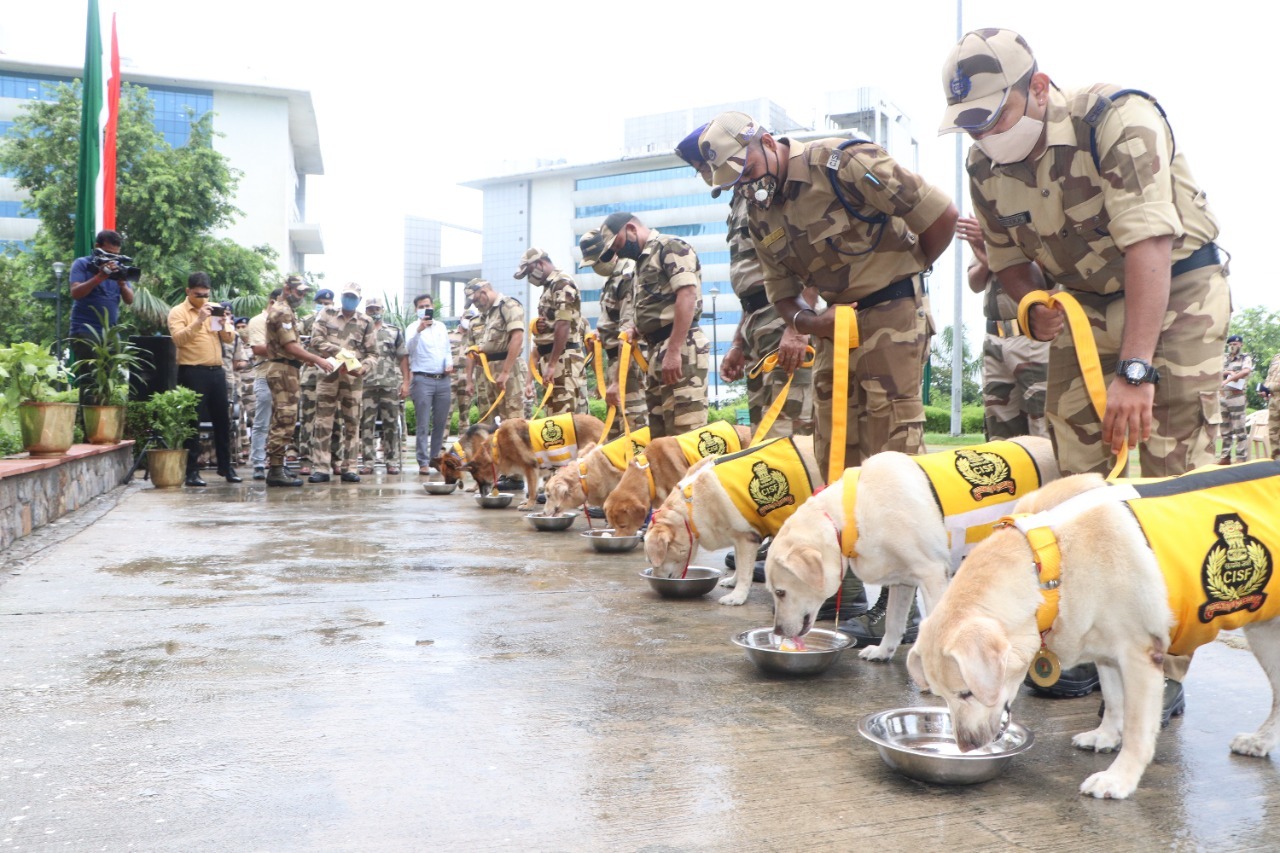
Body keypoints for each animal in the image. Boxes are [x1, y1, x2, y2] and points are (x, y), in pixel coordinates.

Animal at [645, 432, 814, 604]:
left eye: (651, 561)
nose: (655, 578)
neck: (689, 505)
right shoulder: (737, 537)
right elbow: (739, 564)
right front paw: (734, 582)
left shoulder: (747, 537)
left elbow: (745, 570)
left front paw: (738, 596)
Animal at [762, 435, 1054, 660]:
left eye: (780, 592)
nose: (777, 632)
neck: (855, 512)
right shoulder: (902, 580)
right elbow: (893, 621)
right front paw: (883, 651)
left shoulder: (933, 573)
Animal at [906, 458, 1280, 799]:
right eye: (942, 695)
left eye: (966, 693)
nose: (966, 747)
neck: (1051, 562)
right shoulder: (1107, 652)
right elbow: (1114, 700)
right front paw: (1106, 735)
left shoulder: (1140, 655)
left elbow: (1136, 728)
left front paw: (1120, 778)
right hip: (1264, 635)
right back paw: (1260, 741)